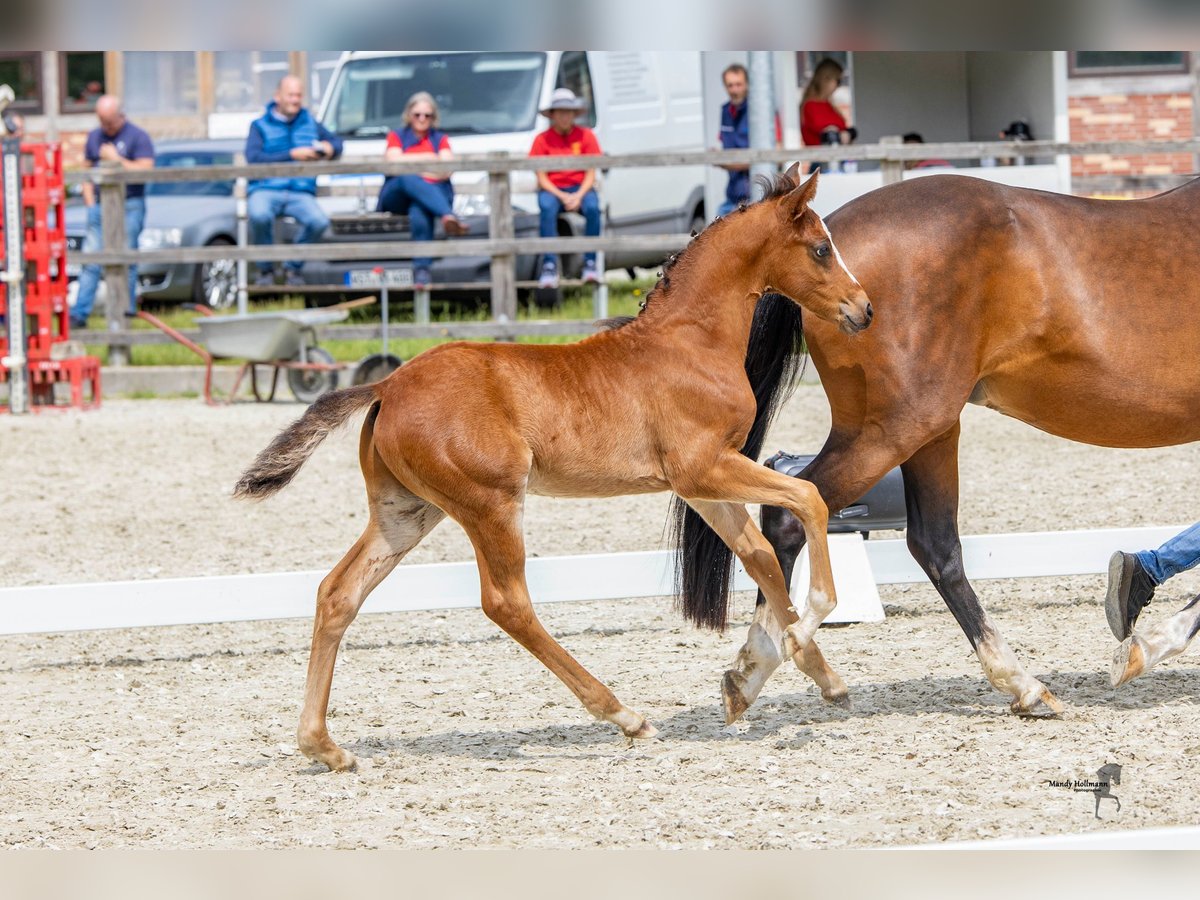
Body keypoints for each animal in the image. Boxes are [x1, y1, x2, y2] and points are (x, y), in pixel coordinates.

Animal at [234, 170, 873, 777]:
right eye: (821, 248)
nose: (863, 309)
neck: (689, 343)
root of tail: (388, 384)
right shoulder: (704, 467)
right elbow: (809, 498)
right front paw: (805, 627)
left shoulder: (701, 484)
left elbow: (759, 555)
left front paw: (793, 675)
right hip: (490, 503)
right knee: (508, 602)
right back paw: (625, 716)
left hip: (406, 513)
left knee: (338, 593)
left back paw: (324, 747)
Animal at [691, 174, 1200, 724]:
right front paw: (1149, 647)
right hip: (896, 429)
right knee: (792, 513)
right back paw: (769, 660)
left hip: (930, 432)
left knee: (933, 546)